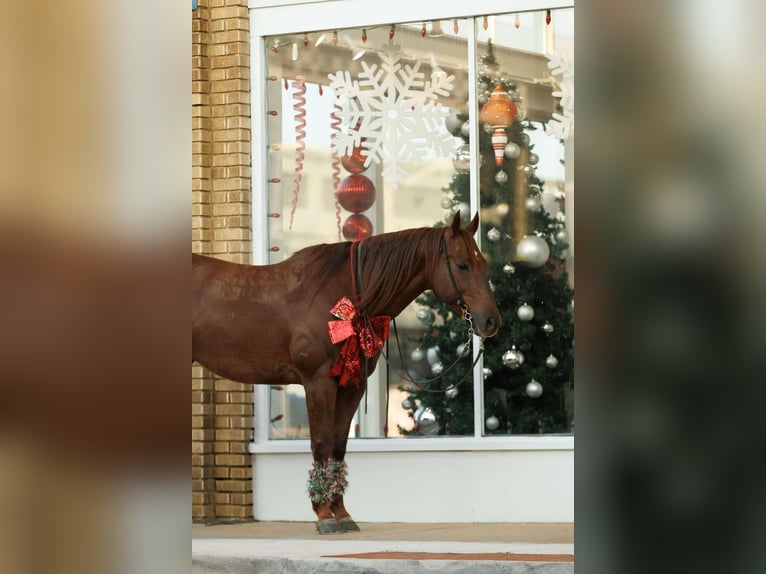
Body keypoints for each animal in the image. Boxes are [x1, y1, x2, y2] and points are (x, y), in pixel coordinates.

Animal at [191, 212, 501, 533]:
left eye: (483, 263)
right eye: (462, 264)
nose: (491, 321)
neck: (342, 296)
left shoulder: (352, 385)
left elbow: (338, 445)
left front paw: (341, 513)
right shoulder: (317, 382)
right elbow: (321, 442)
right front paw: (323, 515)